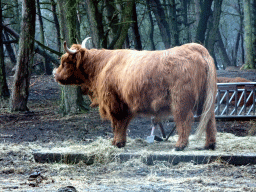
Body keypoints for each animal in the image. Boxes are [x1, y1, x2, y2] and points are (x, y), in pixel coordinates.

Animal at [53, 38, 216, 151]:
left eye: (65, 62)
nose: (54, 73)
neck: (101, 66)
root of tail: (196, 48)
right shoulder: (124, 104)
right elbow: (123, 123)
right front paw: (119, 141)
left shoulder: (114, 102)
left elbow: (117, 123)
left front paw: (117, 143)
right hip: (204, 98)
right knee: (209, 119)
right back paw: (210, 144)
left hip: (181, 100)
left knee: (185, 119)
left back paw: (180, 145)